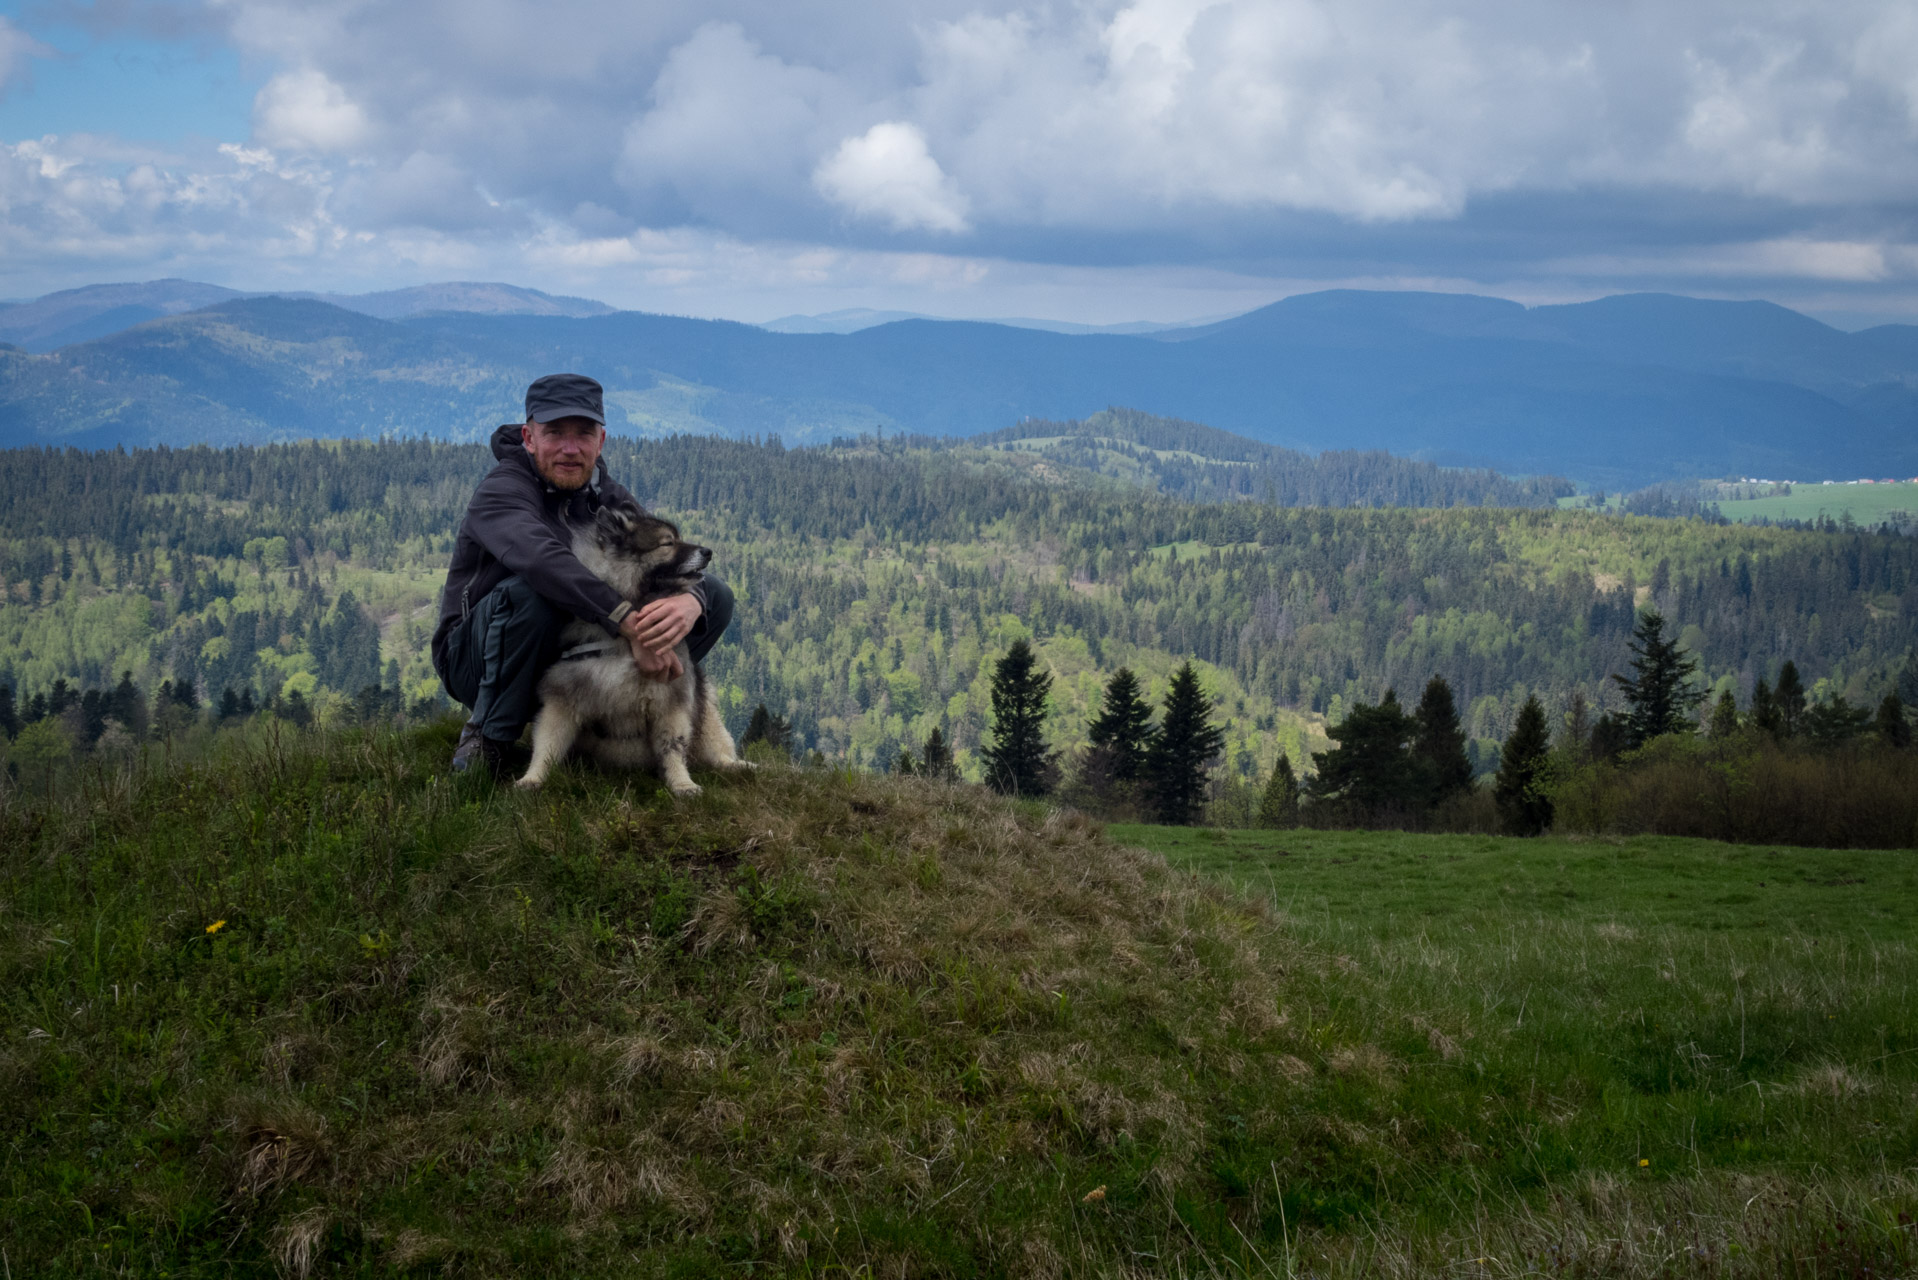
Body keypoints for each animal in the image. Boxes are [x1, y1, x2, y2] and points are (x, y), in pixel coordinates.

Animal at [521, 502, 744, 794]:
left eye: (679, 538)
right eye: (668, 543)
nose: (708, 551)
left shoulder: (670, 700)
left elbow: (672, 747)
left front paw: (682, 784)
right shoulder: (564, 696)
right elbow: (547, 743)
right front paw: (532, 778)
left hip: (707, 713)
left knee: (718, 751)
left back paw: (741, 766)